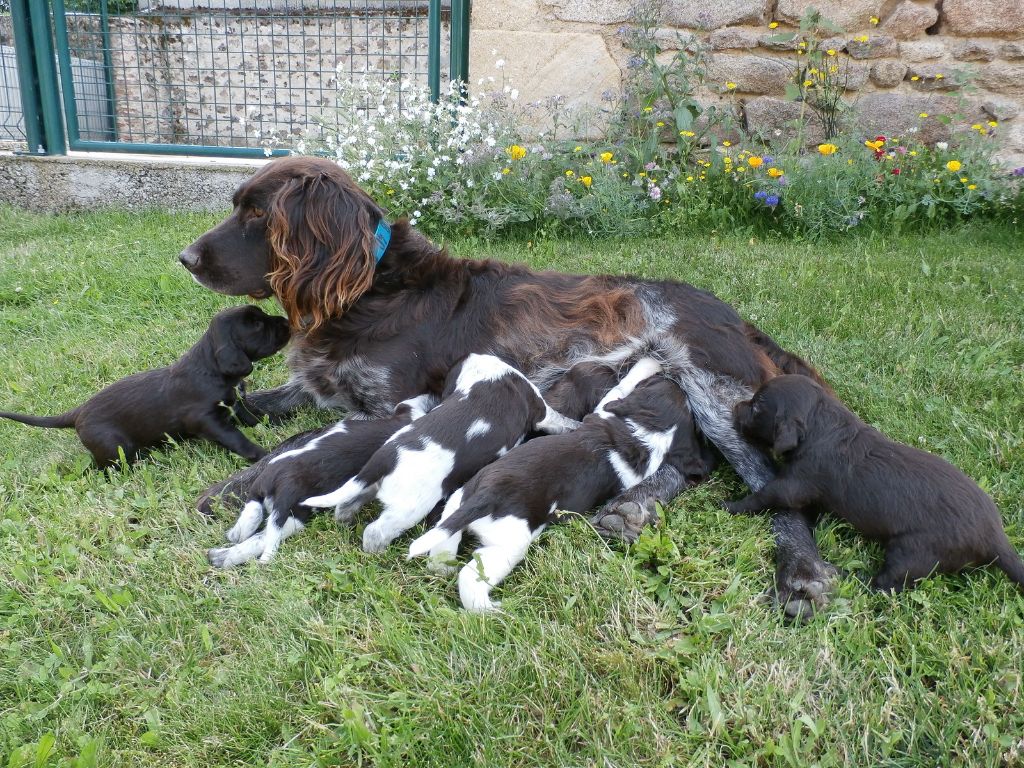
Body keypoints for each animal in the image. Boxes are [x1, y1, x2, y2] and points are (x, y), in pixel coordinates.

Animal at [0, 307, 290, 468]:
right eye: (256, 324)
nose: (287, 322)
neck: (213, 370)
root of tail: (78, 412)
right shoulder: (206, 420)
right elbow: (236, 438)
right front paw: (262, 454)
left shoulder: (236, 402)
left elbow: (253, 416)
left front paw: (277, 422)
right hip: (114, 446)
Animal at [182, 154, 839, 618]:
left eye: (257, 215)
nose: (185, 258)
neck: (367, 288)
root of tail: (734, 316)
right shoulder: (320, 387)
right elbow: (271, 408)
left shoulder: (391, 404)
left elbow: (294, 445)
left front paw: (234, 486)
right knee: (687, 461)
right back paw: (632, 508)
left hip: (709, 384)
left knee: (766, 480)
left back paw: (800, 574)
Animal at [720, 376, 1024, 593]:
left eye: (757, 407)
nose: (735, 406)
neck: (822, 425)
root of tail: (995, 537)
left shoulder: (795, 484)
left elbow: (766, 495)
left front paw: (730, 505)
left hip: (912, 553)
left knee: (886, 584)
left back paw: (852, 577)